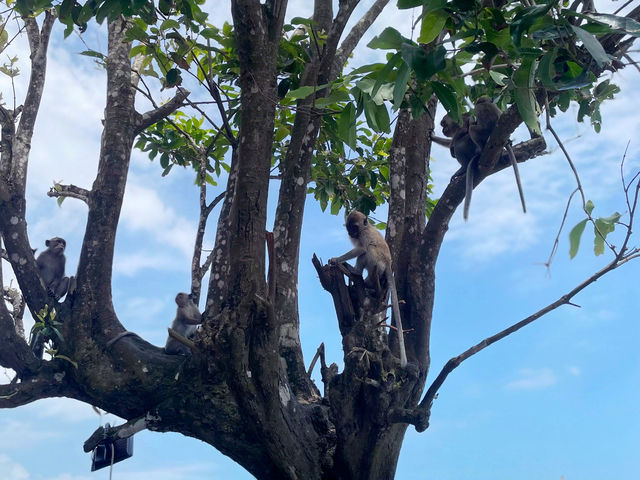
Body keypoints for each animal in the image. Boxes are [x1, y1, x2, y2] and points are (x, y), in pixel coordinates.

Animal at [330, 210, 410, 368]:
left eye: (354, 227)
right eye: (349, 227)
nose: (351, 232)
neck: (364, 228)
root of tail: (388, 263)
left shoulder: (364, 235)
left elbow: (361, 249)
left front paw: (337, 259)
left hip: (377, 262)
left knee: (368, 250)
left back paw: (356, 272)